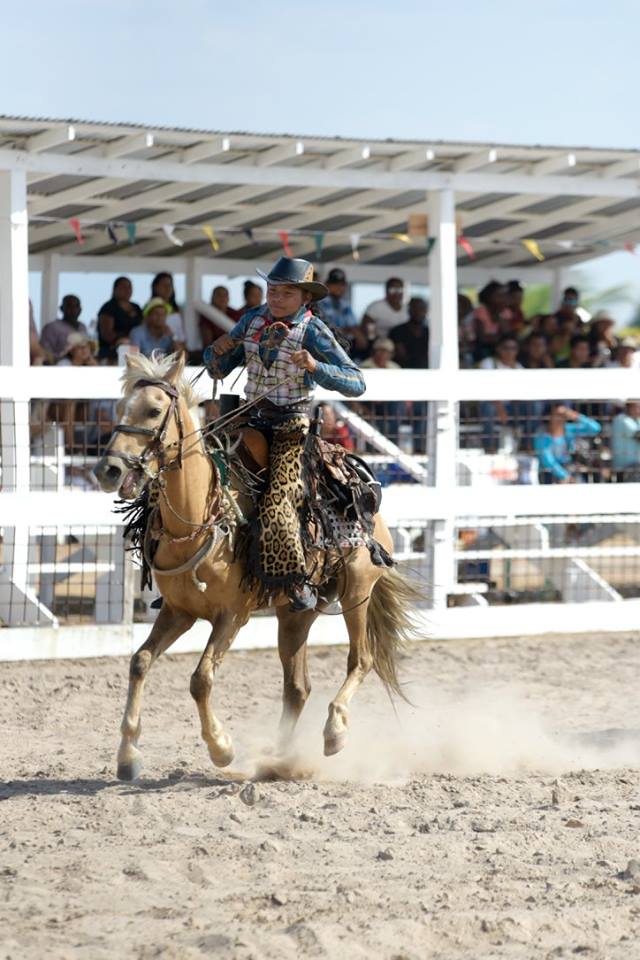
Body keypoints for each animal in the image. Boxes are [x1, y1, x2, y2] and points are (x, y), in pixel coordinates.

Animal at [91, 352, 420, 780]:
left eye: (153, 410)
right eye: (118, 408)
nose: (108, 470)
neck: (199, 516)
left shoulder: (233, 615)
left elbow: (200, 680)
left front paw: (221, 748)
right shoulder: (179, 612)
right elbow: (139, 662)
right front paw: (128, 755)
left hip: (357, 592)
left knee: (359, 660)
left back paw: (333, 732)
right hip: (296, 612)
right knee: (297, 687)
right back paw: (279, 760)